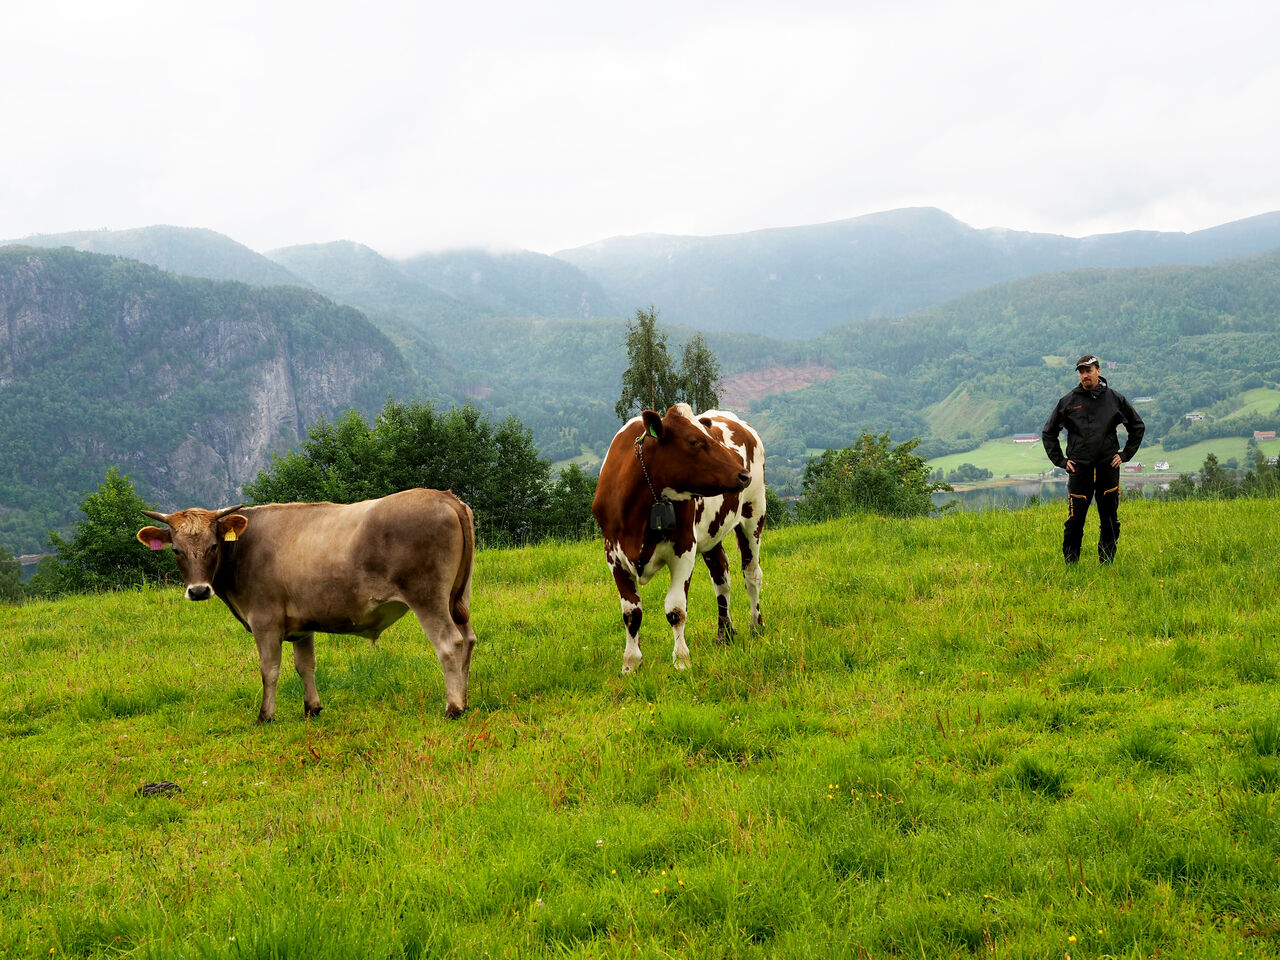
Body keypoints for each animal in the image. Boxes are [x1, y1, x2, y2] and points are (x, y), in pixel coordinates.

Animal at [135, 488, 478, 721]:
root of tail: (444, 497)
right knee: (469, 639)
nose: (198, 591)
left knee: (450, 643)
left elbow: (269, 668)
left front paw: (265, 715)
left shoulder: (265, 620)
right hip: (458, 598)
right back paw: (465, 698)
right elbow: (305, 665)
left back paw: (453, 707)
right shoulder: (301, 625)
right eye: (176, 550)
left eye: (213, 546)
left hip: (428, 597)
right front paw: (312, 708)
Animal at [591, 401, 762, 670]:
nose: (744, 475)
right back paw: (725, 634)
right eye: (693, 441)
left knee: (752, 573)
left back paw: (756, 626)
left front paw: (682, 660)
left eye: (709, 437)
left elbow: (676, 609)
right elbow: (631, 613)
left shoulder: (684, 548)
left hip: (754, 513)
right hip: (712, 534)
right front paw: (631, 663)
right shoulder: (613, 555)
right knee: (721, 576)